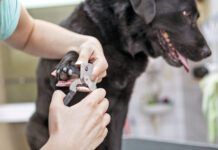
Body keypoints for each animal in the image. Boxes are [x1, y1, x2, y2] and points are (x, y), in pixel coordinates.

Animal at [26, 0, 211, 149]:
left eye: (197, 16)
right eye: (186, 13)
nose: (208, 52)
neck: (118, 41)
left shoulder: (121, 105)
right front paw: (69, 65)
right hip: (33, 126)